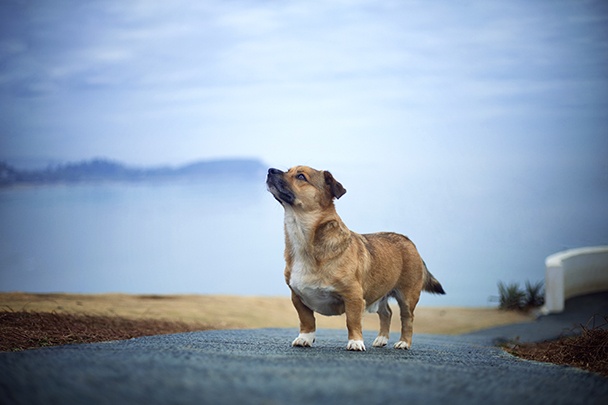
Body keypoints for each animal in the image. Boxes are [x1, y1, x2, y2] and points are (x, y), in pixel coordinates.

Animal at [268, 166, 444, 348]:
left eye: (301, 176)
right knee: (386, 313)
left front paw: (356, 342)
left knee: (407, 319)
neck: (304, 240)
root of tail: (408, 241)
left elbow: (352, 321)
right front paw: (305, 338)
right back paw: (381, 339)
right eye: (288, 170)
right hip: (381, 292)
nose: (270, 170)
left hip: (407, 297)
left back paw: (404, 343)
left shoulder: (353, 296)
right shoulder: (297, 297)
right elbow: (307, 320)